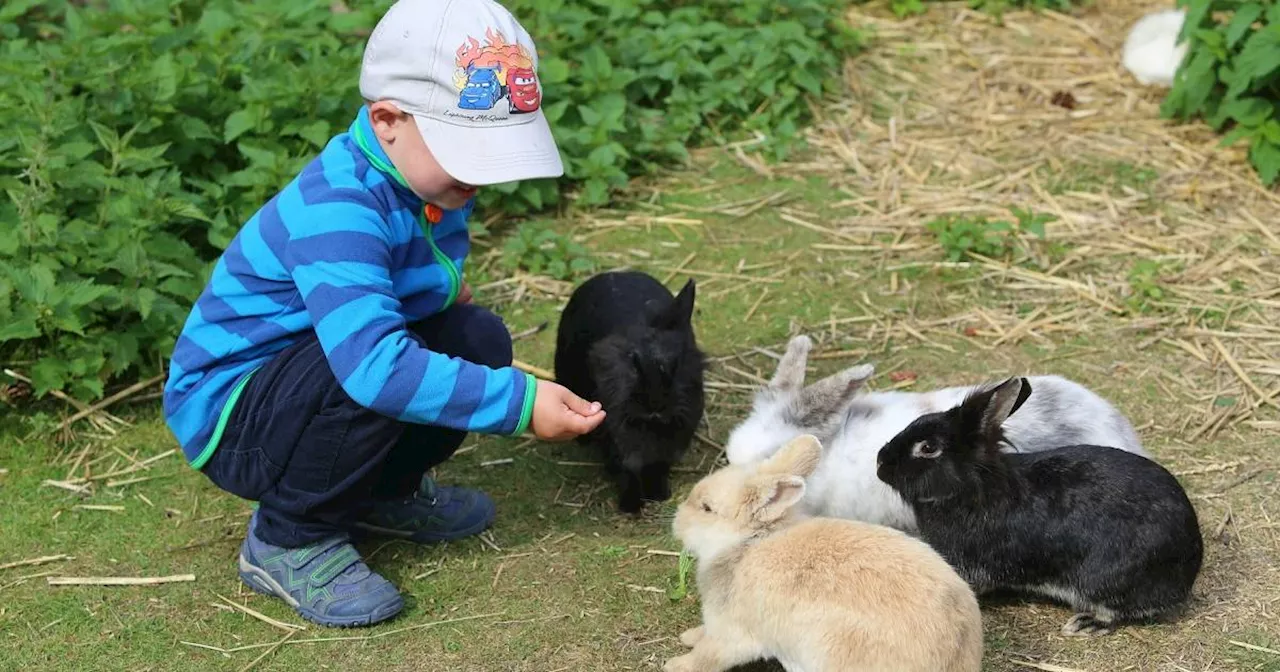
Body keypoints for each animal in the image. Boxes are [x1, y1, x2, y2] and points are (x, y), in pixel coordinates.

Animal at [552, 270, 706, 512]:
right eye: (633, 362)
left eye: (676, 363)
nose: (655, 405)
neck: (650, 425)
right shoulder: (616, 440)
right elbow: (627, 472)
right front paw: (631, 505)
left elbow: (657, 467)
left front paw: (658, 494)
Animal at [665, 432, 983, 665]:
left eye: (707, 508)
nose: (677, 520)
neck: (747, 543)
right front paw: (689, 637)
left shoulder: (732, 635)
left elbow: (706, 658)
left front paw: (675, 665)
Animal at [875, 376, 1203, 634]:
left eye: (928, 447)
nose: (880, 462)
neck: (972, 489)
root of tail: (1191, 562)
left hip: (1106, 581)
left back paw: (1086, 623)